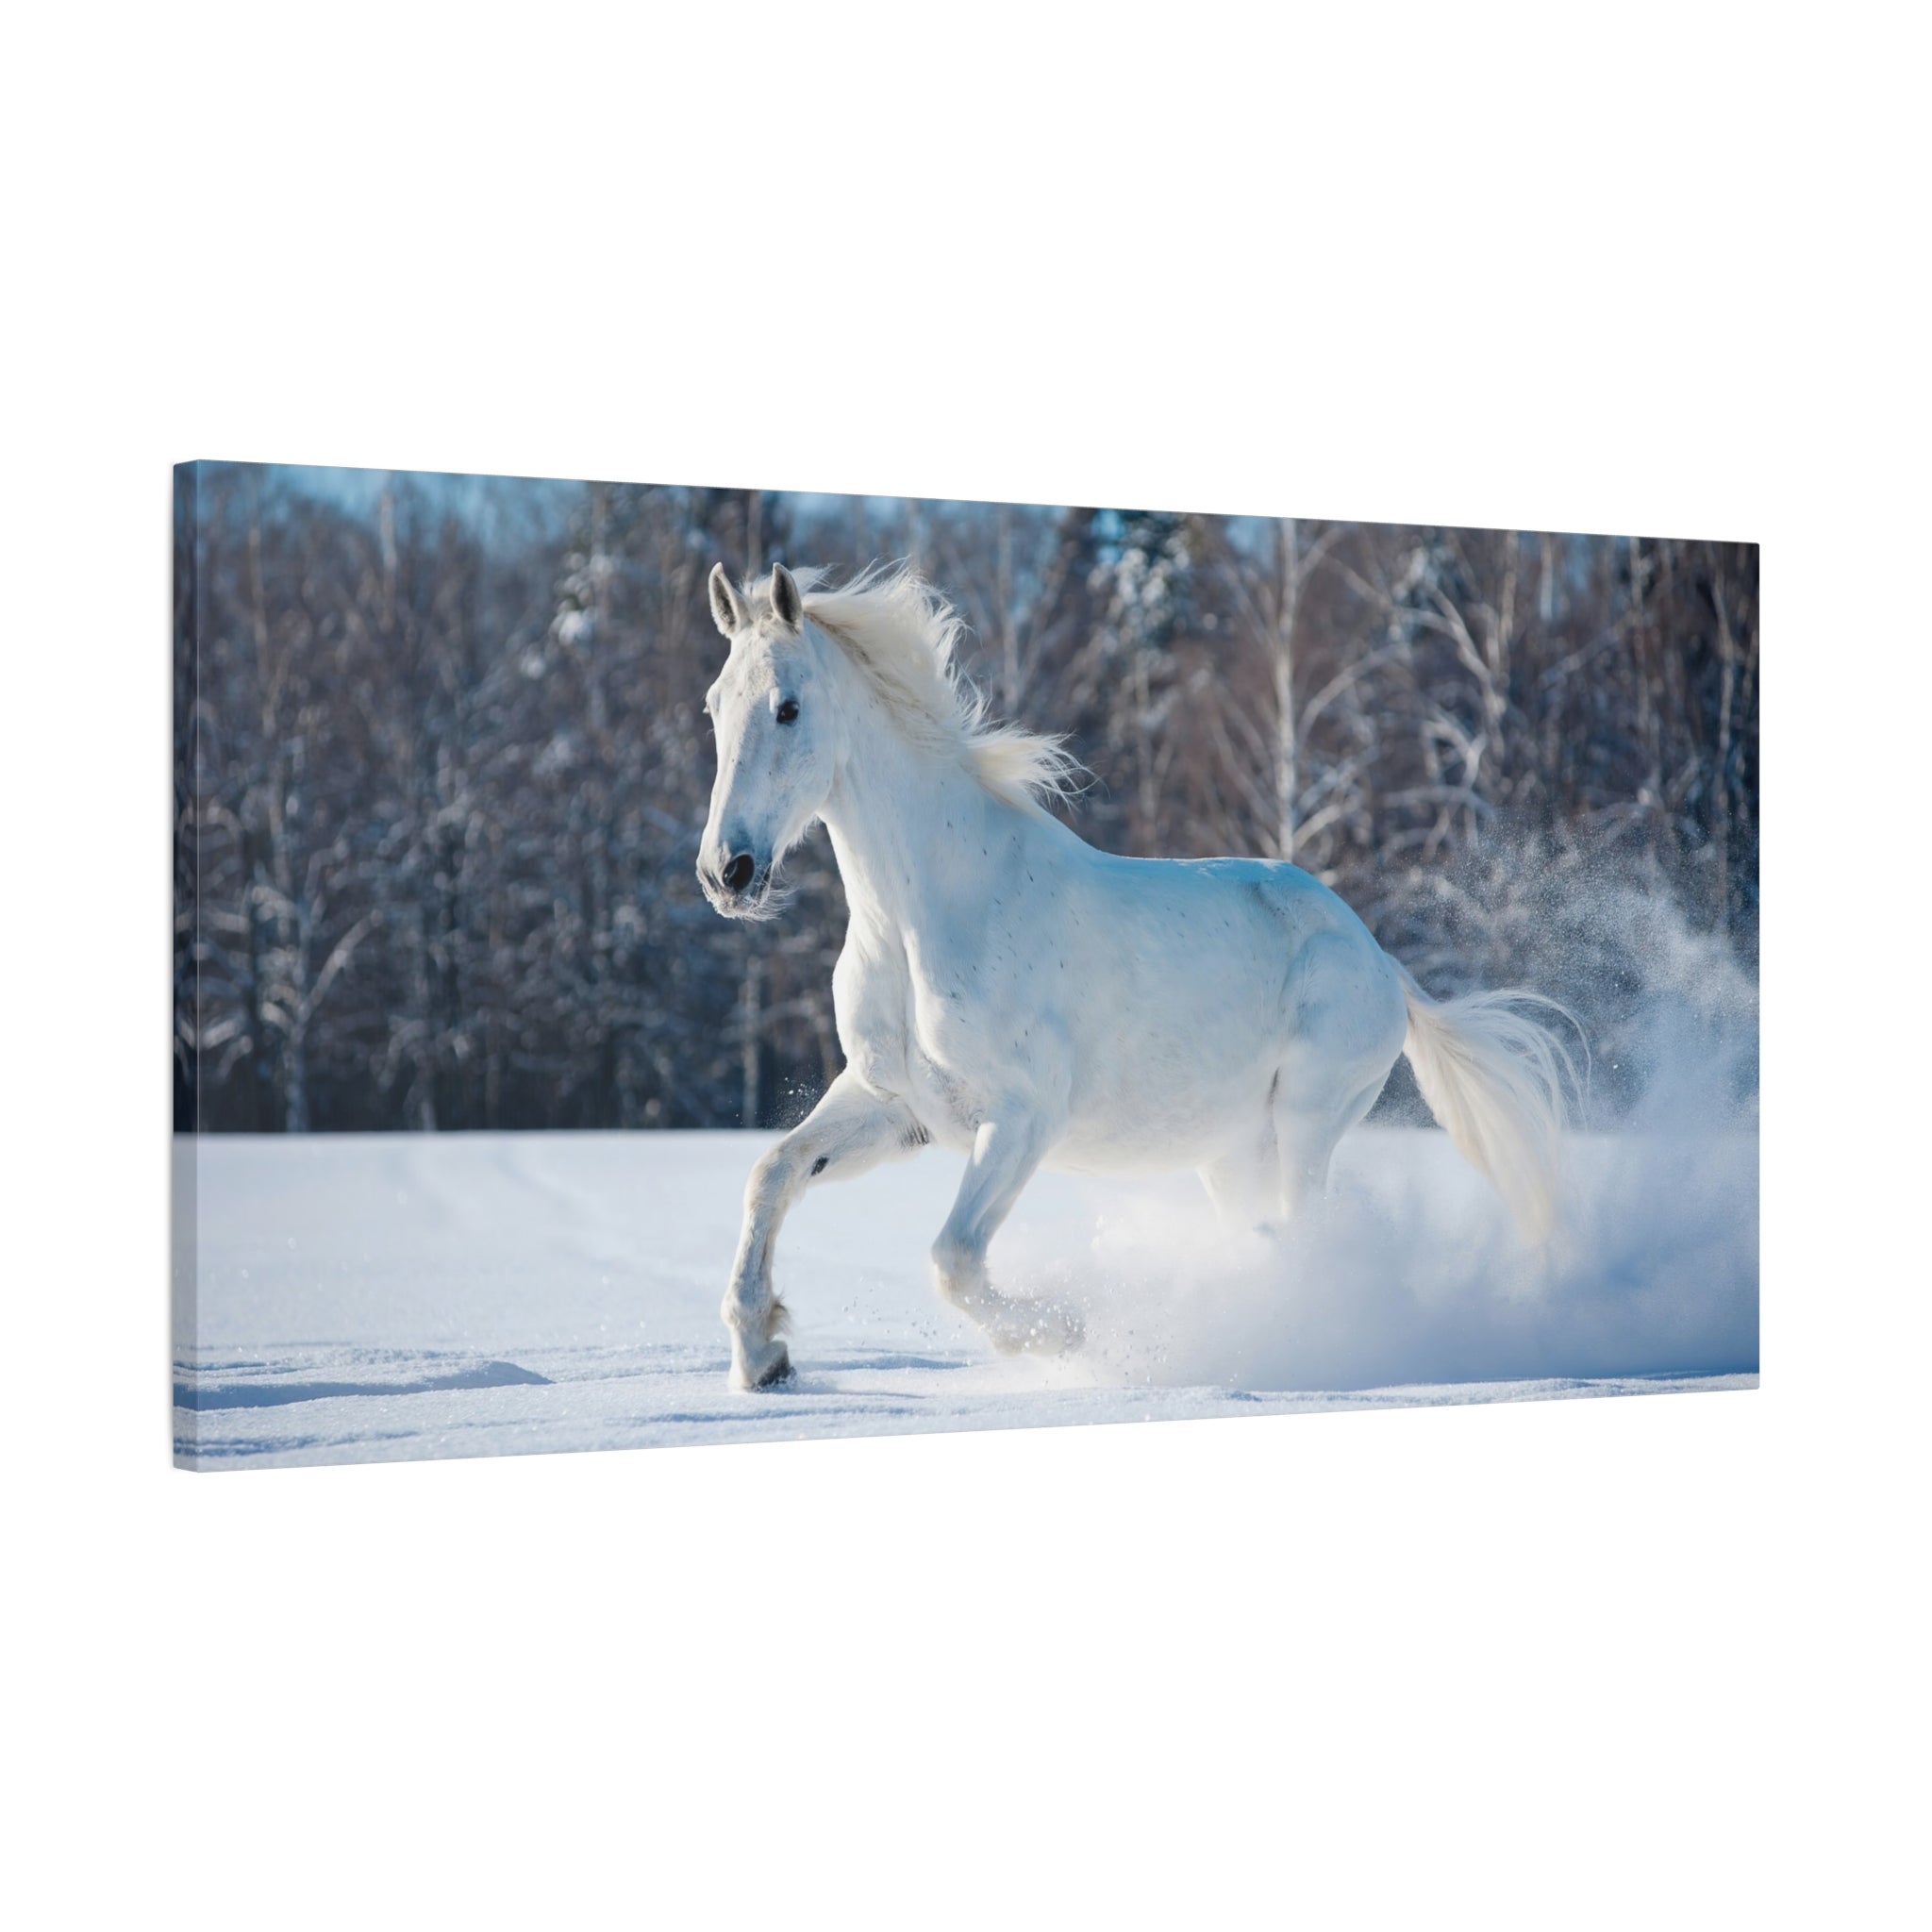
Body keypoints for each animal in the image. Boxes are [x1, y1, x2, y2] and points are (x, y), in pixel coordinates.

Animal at [697, 560, 1578, 1390]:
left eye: (787, 706)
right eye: (713, 705)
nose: (726, 872)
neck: (926, 919)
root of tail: (1381, 961)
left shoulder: (1022, 1117)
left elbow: (953, 1259)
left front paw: (1064, 1334)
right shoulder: (893, 1105)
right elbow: (771, 1175)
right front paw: (763, 1355)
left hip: (1308, 1121)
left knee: (1306, 1239)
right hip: (1231, 1152)